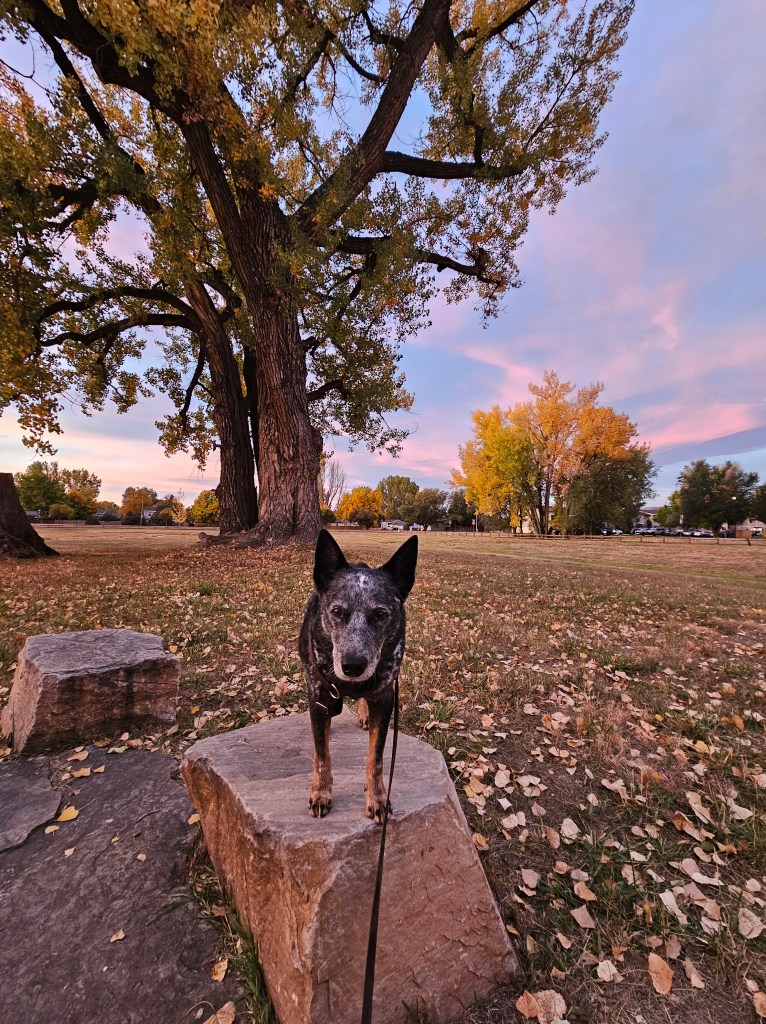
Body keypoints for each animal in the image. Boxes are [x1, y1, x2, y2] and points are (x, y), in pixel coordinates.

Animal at [299, 529, 418, 820]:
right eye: (337, 611)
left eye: (381, 614)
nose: (353, 665)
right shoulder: (318, 694)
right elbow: (321, 755)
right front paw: (321, 793)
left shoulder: (385, 698)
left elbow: (376, 758)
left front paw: (377, 797)